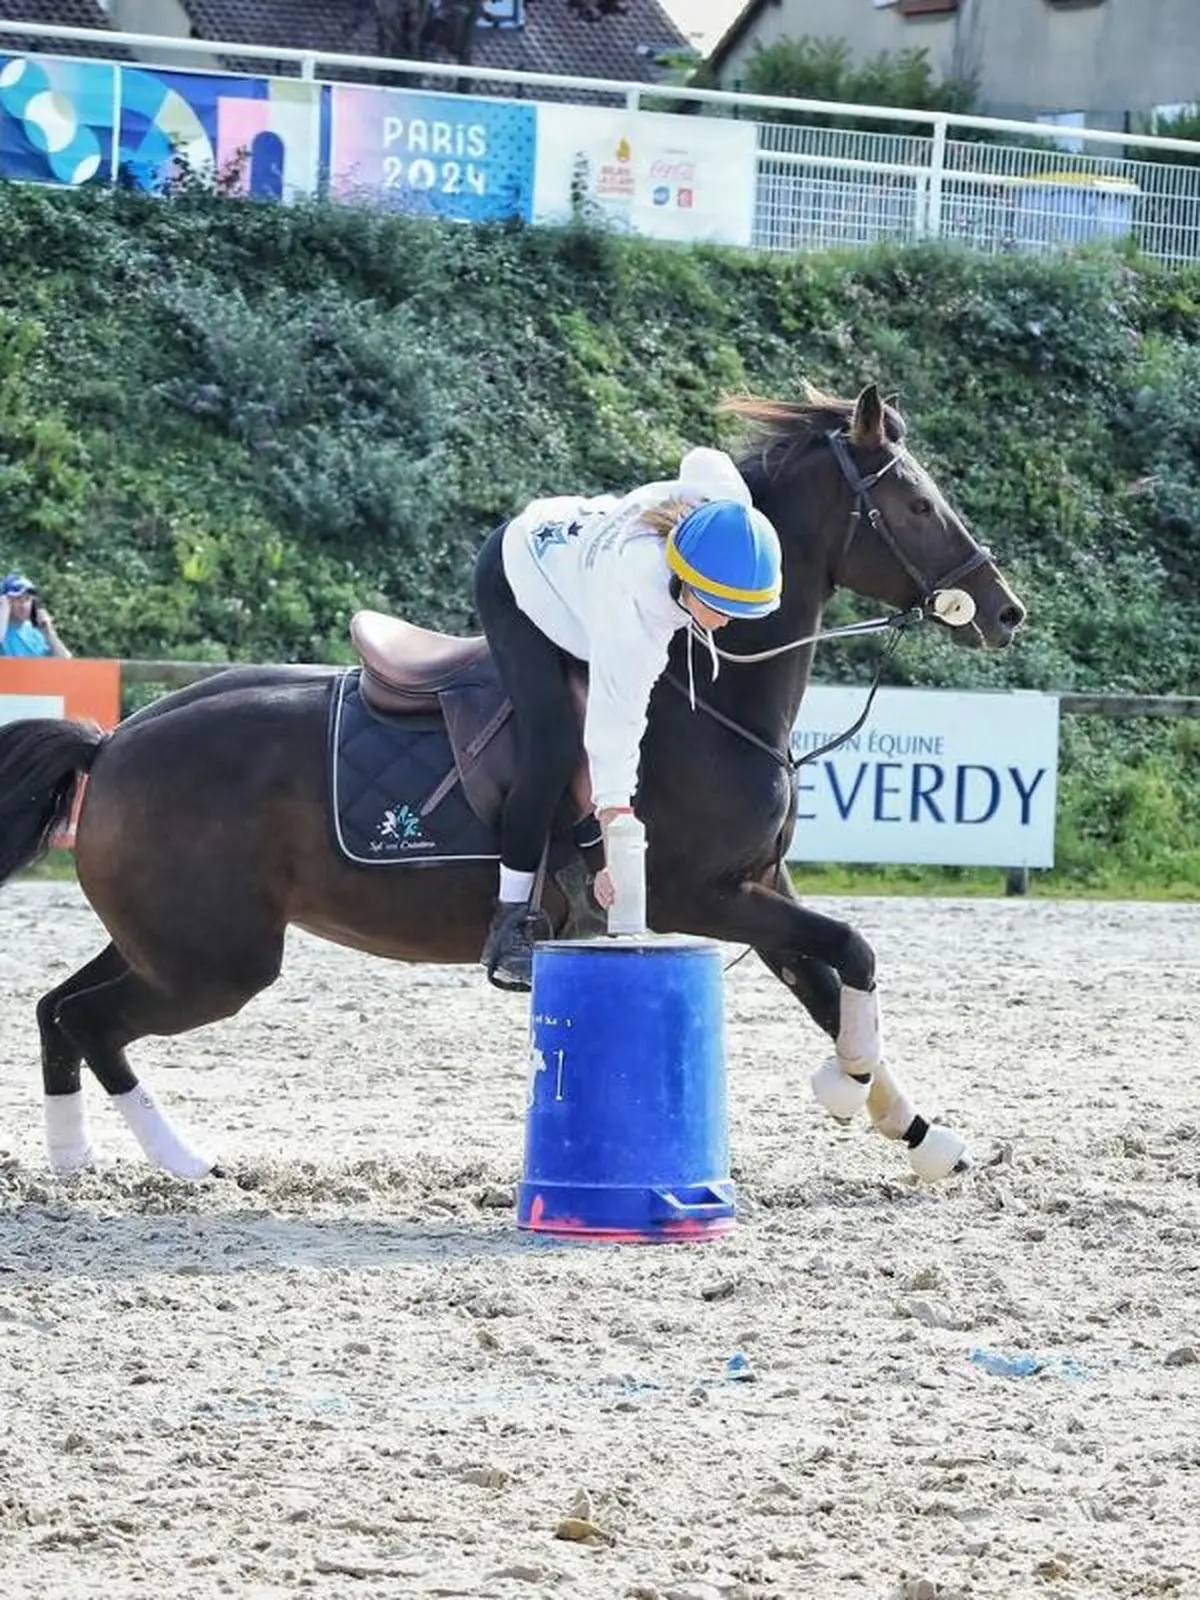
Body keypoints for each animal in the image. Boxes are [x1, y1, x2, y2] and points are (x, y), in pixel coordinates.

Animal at [0, 383, 1025, 1185]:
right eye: (919, 505)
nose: (1006, 610)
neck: (709, 692)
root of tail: (114, 744)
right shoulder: (700, 896)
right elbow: (852, 950)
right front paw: (848, 1090)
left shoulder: (759, 886)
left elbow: (830, 983)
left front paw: (919, 1132)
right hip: (216, 964)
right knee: (92, 1023)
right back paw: (177, 1160)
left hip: (166, 941)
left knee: (59, 1011)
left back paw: (79, 1159)